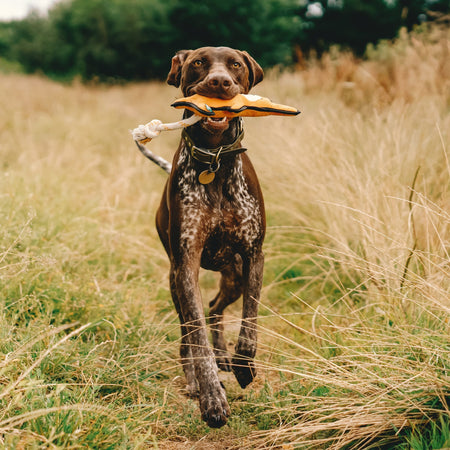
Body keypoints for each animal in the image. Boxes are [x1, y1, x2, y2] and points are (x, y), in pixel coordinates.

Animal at [156, 46, 266, 428]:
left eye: (235, 64)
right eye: (198, 63)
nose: (220, 82)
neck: (214, 160)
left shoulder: (254, 255)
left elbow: (249, 323)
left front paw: (244, 365)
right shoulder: (186, 264)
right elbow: (197, 336)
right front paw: (211, 397)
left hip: (233, 274)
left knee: (217, 308)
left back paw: (225, 357)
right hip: (175, 280)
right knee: (189, 333)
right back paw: (197, 378)